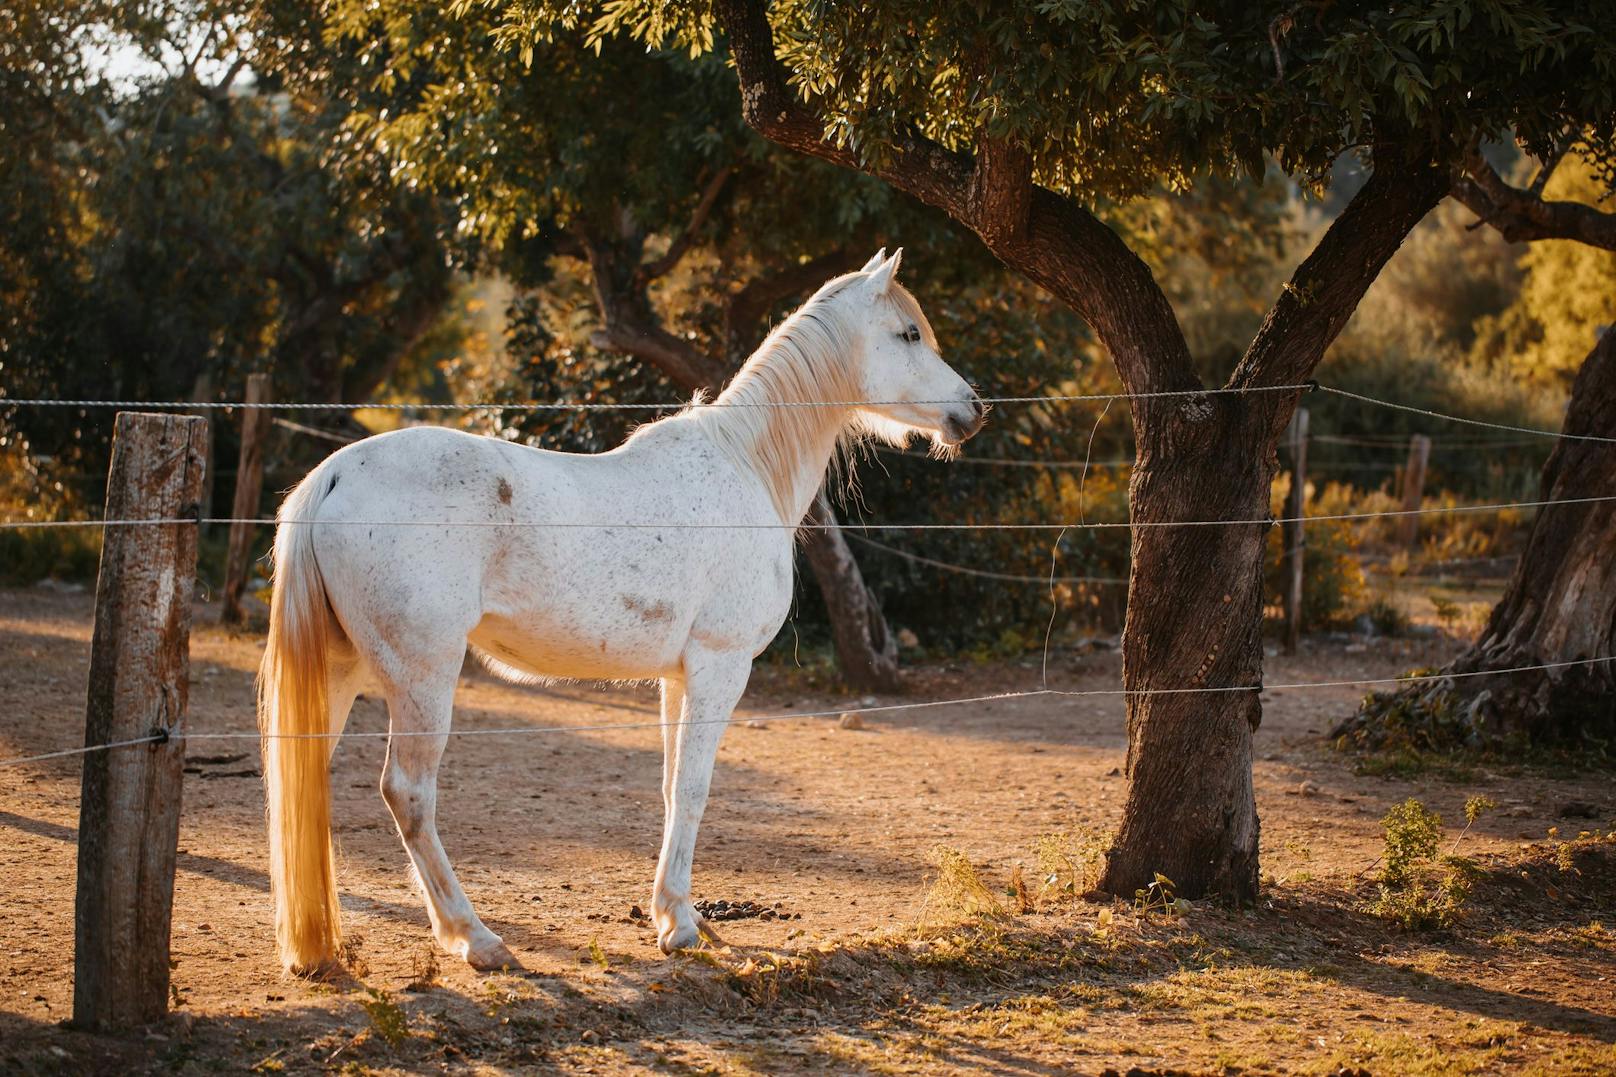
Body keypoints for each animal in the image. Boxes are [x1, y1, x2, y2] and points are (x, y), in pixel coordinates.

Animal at [261, 247, 982, 970]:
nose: (973, 410)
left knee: (305, 779)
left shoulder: (678, 676)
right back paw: (476, 937)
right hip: (423, 675)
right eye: (909, 334)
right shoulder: (721, 667)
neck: (745, 466)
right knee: (408, 793)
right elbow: (693, 788)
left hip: (343, 670)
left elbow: (669, 786)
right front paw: (681, 926)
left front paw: (672, 911)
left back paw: (318, 946)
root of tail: (334, 475)